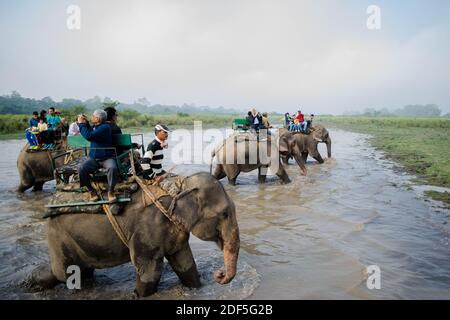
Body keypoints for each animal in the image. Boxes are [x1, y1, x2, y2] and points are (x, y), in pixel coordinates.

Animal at [27, 172, 239, 298]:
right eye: (225, 214)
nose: (218, 274)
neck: (179, 184)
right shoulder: (147, 229)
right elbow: (150, 270)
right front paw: (138, 294)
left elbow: (185, 263)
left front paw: (195, 287)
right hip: (58, 236)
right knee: (65, 274)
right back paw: (33, 283)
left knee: (81, 273)